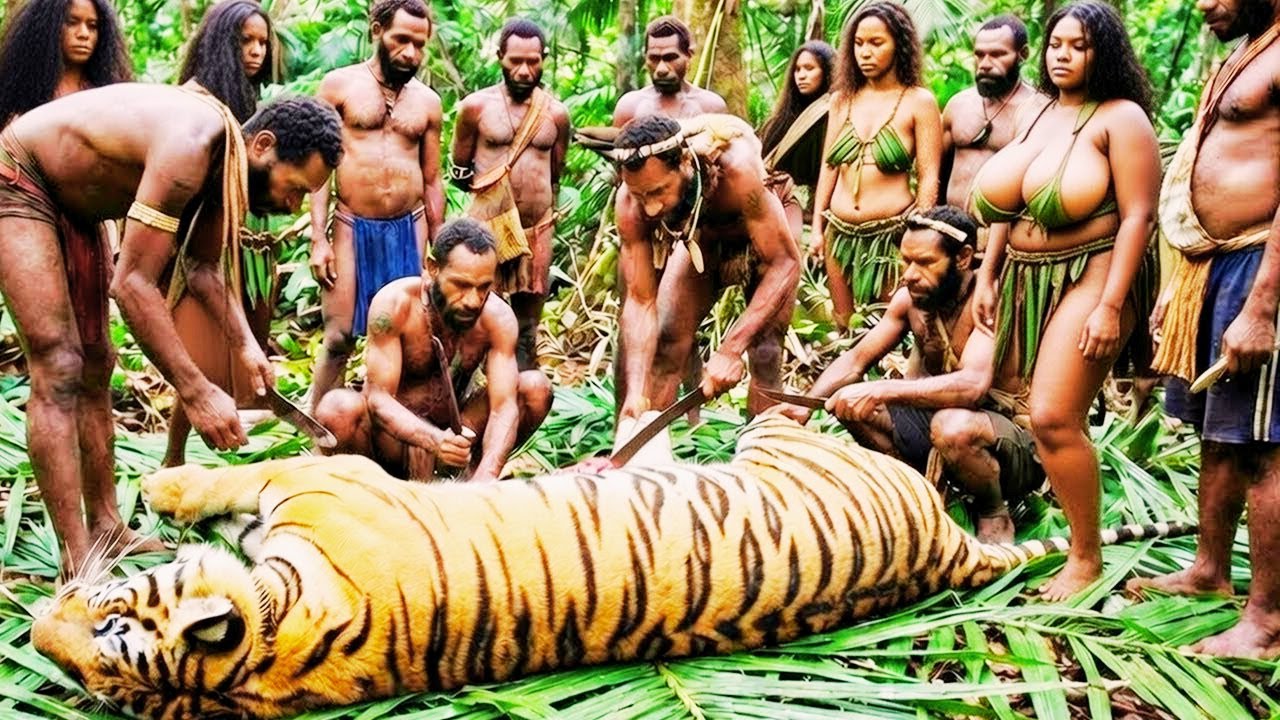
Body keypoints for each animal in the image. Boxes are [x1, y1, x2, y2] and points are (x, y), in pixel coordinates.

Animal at [31, 415, 1193, 719]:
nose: (38, 626)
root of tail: (937, 546)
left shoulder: (332, 473)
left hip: (784, 432)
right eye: (95, 675)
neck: (278, 646)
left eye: (107, 628)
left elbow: (242, 470)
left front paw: (167, 487)